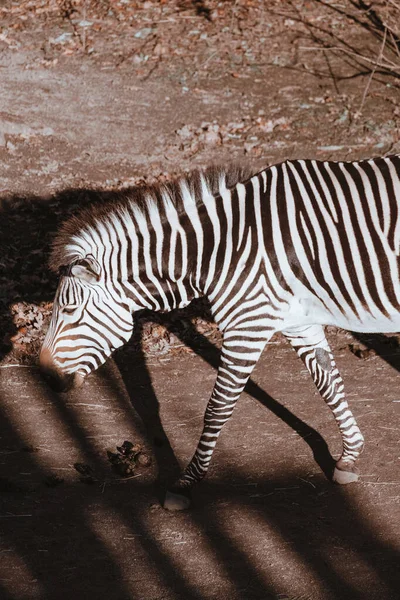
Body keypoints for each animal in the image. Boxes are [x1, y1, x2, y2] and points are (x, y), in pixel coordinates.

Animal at [39, 156, 400, 510]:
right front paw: (349, 457)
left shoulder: (248, 325)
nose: (45, 376)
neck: (222, 250)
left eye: (68, 310)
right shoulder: (299, 321)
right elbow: (328, 383)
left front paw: (185, 484)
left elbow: (217, 407)